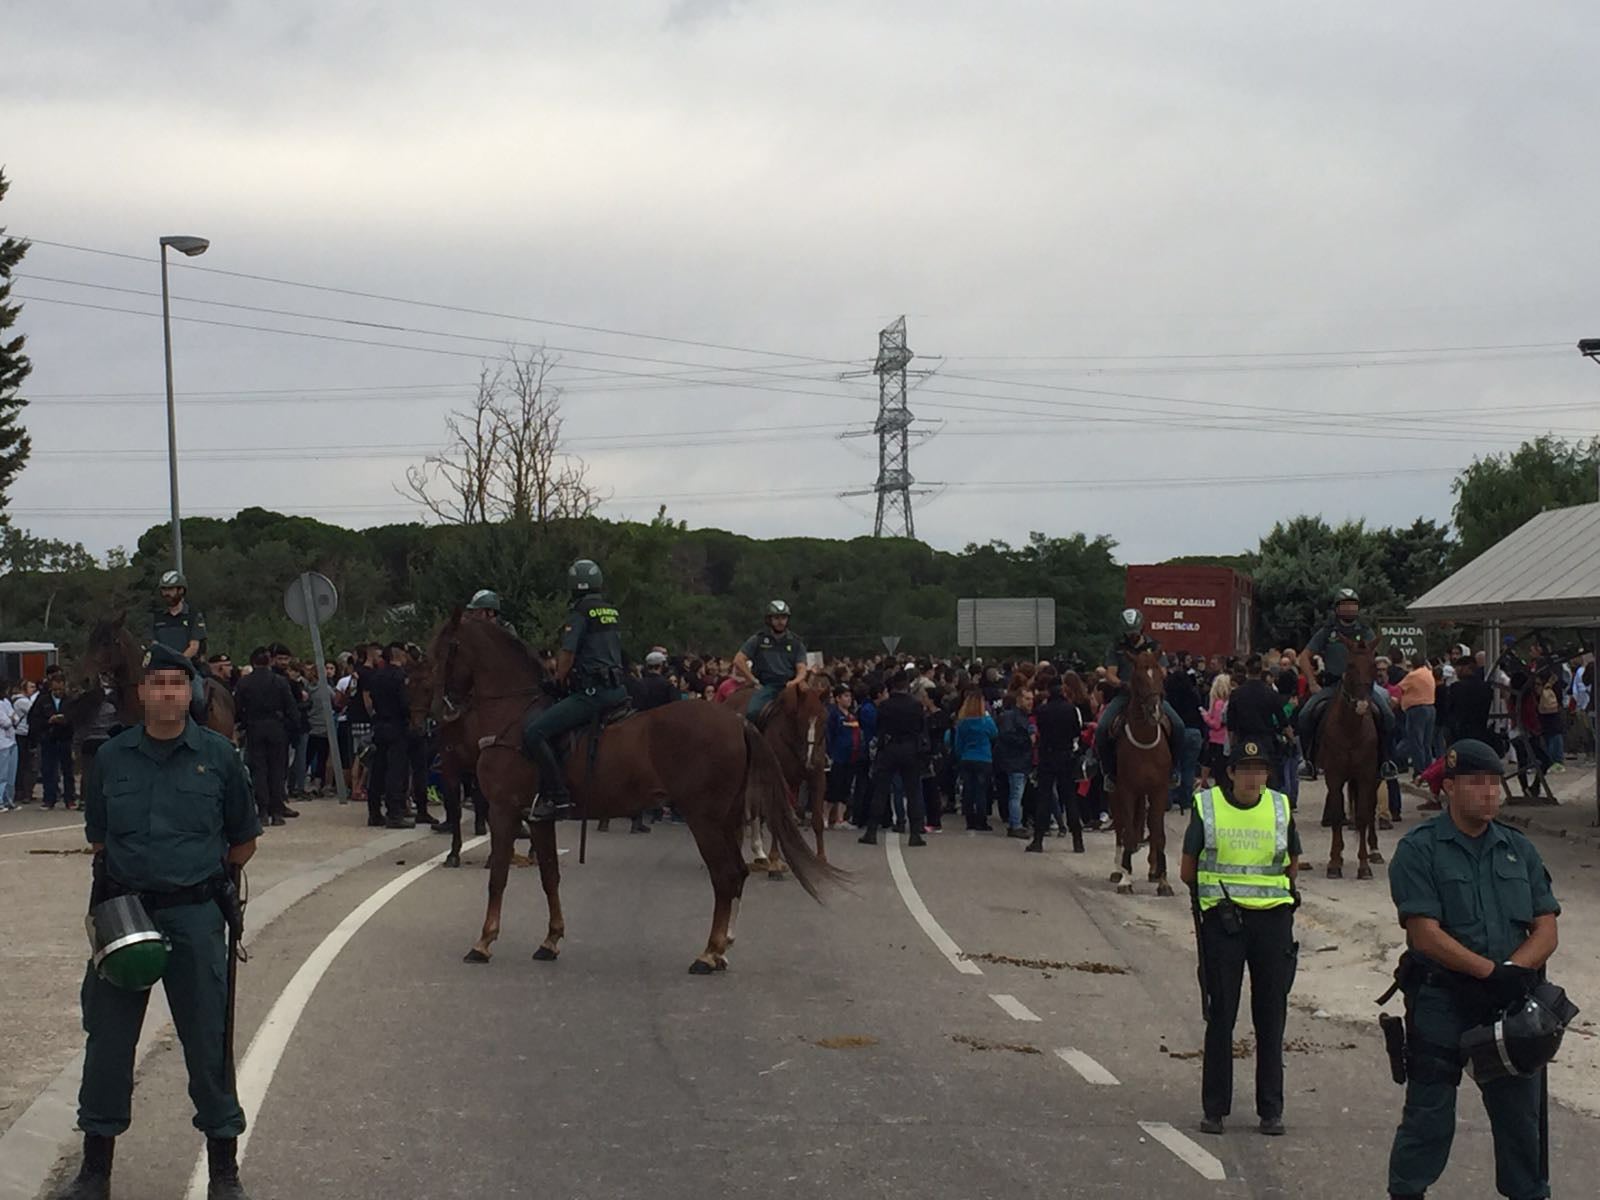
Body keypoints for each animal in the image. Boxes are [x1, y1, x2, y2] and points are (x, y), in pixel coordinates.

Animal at [723, 678, 832, 876]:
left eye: (824, 718)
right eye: (800, 719)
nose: (810, 759)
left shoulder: (818, 778)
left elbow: (818, 820)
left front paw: (822, 860)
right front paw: (775, 862)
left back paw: (759, 854)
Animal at [1107, 652, 1184, 896]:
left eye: (1160, 675)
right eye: (1138, 678)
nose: (1155, 711)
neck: (1145, 742)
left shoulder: (1159, 790)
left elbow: (1158, 832)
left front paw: (1164, 881)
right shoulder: (1127, 790)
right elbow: (1129, 832)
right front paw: (1125, 879)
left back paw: (1152, 869)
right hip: (1115, 794)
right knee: (1121, 828)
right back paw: (1118, 869)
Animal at [1318, 633, 1382, 876]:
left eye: (1374, 666)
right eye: (1351, 665)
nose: (1362, 704)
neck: (1350, 730)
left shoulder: (1366, 776)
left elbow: (1363, 817)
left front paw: (1364, 865)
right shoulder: (1333, 776)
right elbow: (1337, 817)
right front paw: (1335, 862)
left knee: (1370, 808)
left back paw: (1375, 851)